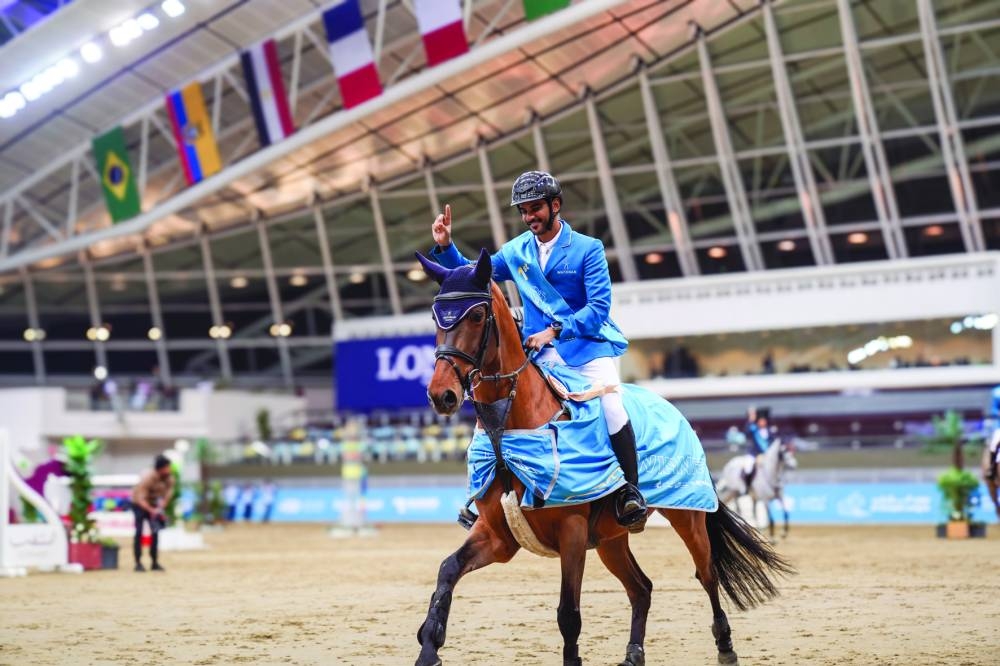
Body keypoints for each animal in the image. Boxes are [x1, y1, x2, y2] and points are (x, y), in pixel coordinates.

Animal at [413, 250, 792, 666]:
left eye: (477, 316)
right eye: (436, 317)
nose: (441, 395)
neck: (509, 427)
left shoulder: (573, 531)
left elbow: (568, 614)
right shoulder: (498, 536)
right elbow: (447, 572)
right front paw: (429, 647)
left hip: (686, 515)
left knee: (706, 574)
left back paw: (725, 647)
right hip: (612, 539)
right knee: (641, 587)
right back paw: (634, 654)